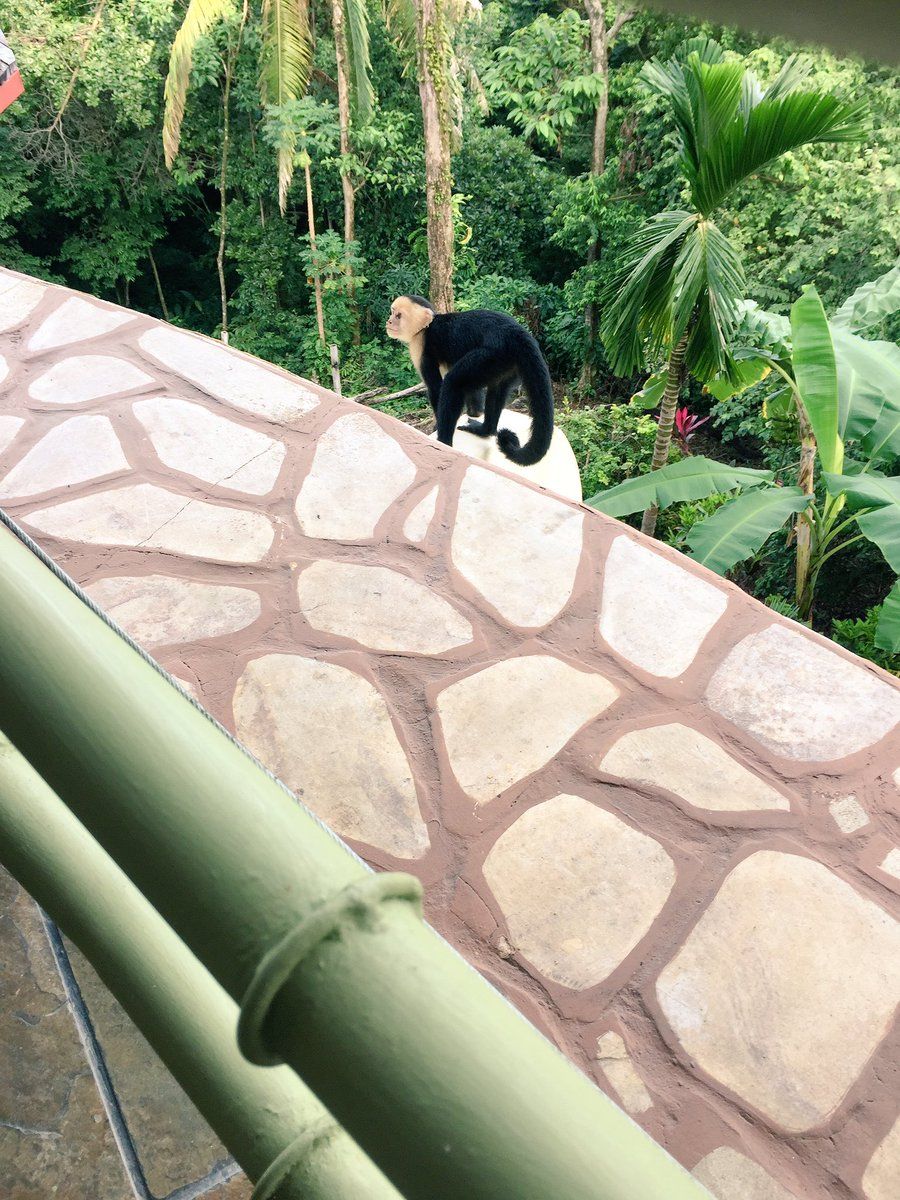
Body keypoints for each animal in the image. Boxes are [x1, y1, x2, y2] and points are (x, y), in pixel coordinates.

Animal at [385, 295, 554, 466]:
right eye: (392, 312)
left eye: (398, 316)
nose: (389, 321)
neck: (426, 327)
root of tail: (518, 333)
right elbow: (474, 392)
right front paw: (475, 412)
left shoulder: (420, 344)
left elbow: (435, 388)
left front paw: (437, 427)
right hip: (508, 362)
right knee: (497, 387)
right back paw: (486, 430)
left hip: (493, 353)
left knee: (453, 383)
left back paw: (444, 443)